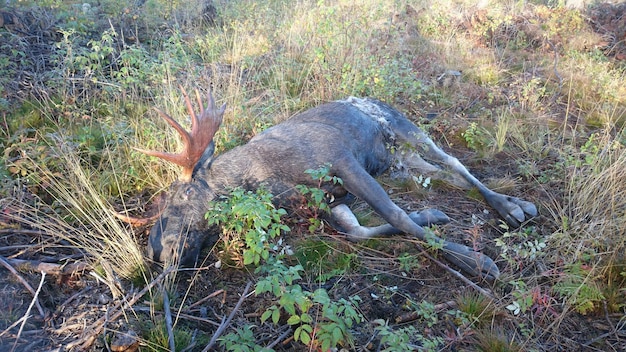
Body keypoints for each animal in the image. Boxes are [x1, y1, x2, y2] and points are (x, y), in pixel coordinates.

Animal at [130, 86, 532, 280]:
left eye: (180, 195)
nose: (156, 252)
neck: (269, 181)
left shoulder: (341, 160)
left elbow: (396, 215)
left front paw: (475, 261)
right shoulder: (331, 201)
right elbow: (362, 232)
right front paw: (431, 216)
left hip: (406, 127)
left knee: (456, 163)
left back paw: (512, 207)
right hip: (399, 163)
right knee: (446, 175)